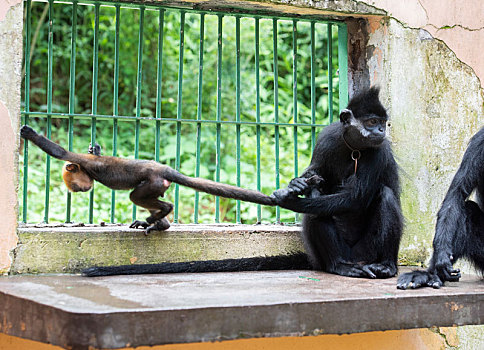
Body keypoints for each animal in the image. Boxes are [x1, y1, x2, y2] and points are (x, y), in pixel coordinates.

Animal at [19, 124, 276, 234]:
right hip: (157, 186)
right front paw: (97, 147)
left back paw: (162, 214)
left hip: (153, 182)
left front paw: (31, 134)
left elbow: (60, 152)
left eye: (78, 187)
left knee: (138, 196)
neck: (88, 170)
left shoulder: (85, 162)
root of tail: (165, 169)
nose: (85, 189)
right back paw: (159, 223)